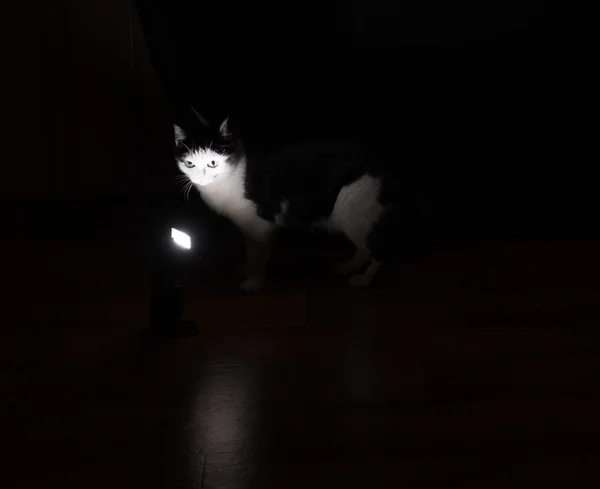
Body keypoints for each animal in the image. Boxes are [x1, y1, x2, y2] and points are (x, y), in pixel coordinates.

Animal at [176, 119, 414, 292]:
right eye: (190, 164)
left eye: (212, 163)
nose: (201, 177)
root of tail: (388, 160)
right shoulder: (249, 228)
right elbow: (251, 251)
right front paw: (246, 269)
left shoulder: (261, 226)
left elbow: (257, 255)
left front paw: (254, 283)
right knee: (364, 248)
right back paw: (347, 268)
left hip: (355, 211)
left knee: (379, 248)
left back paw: (364, 280)